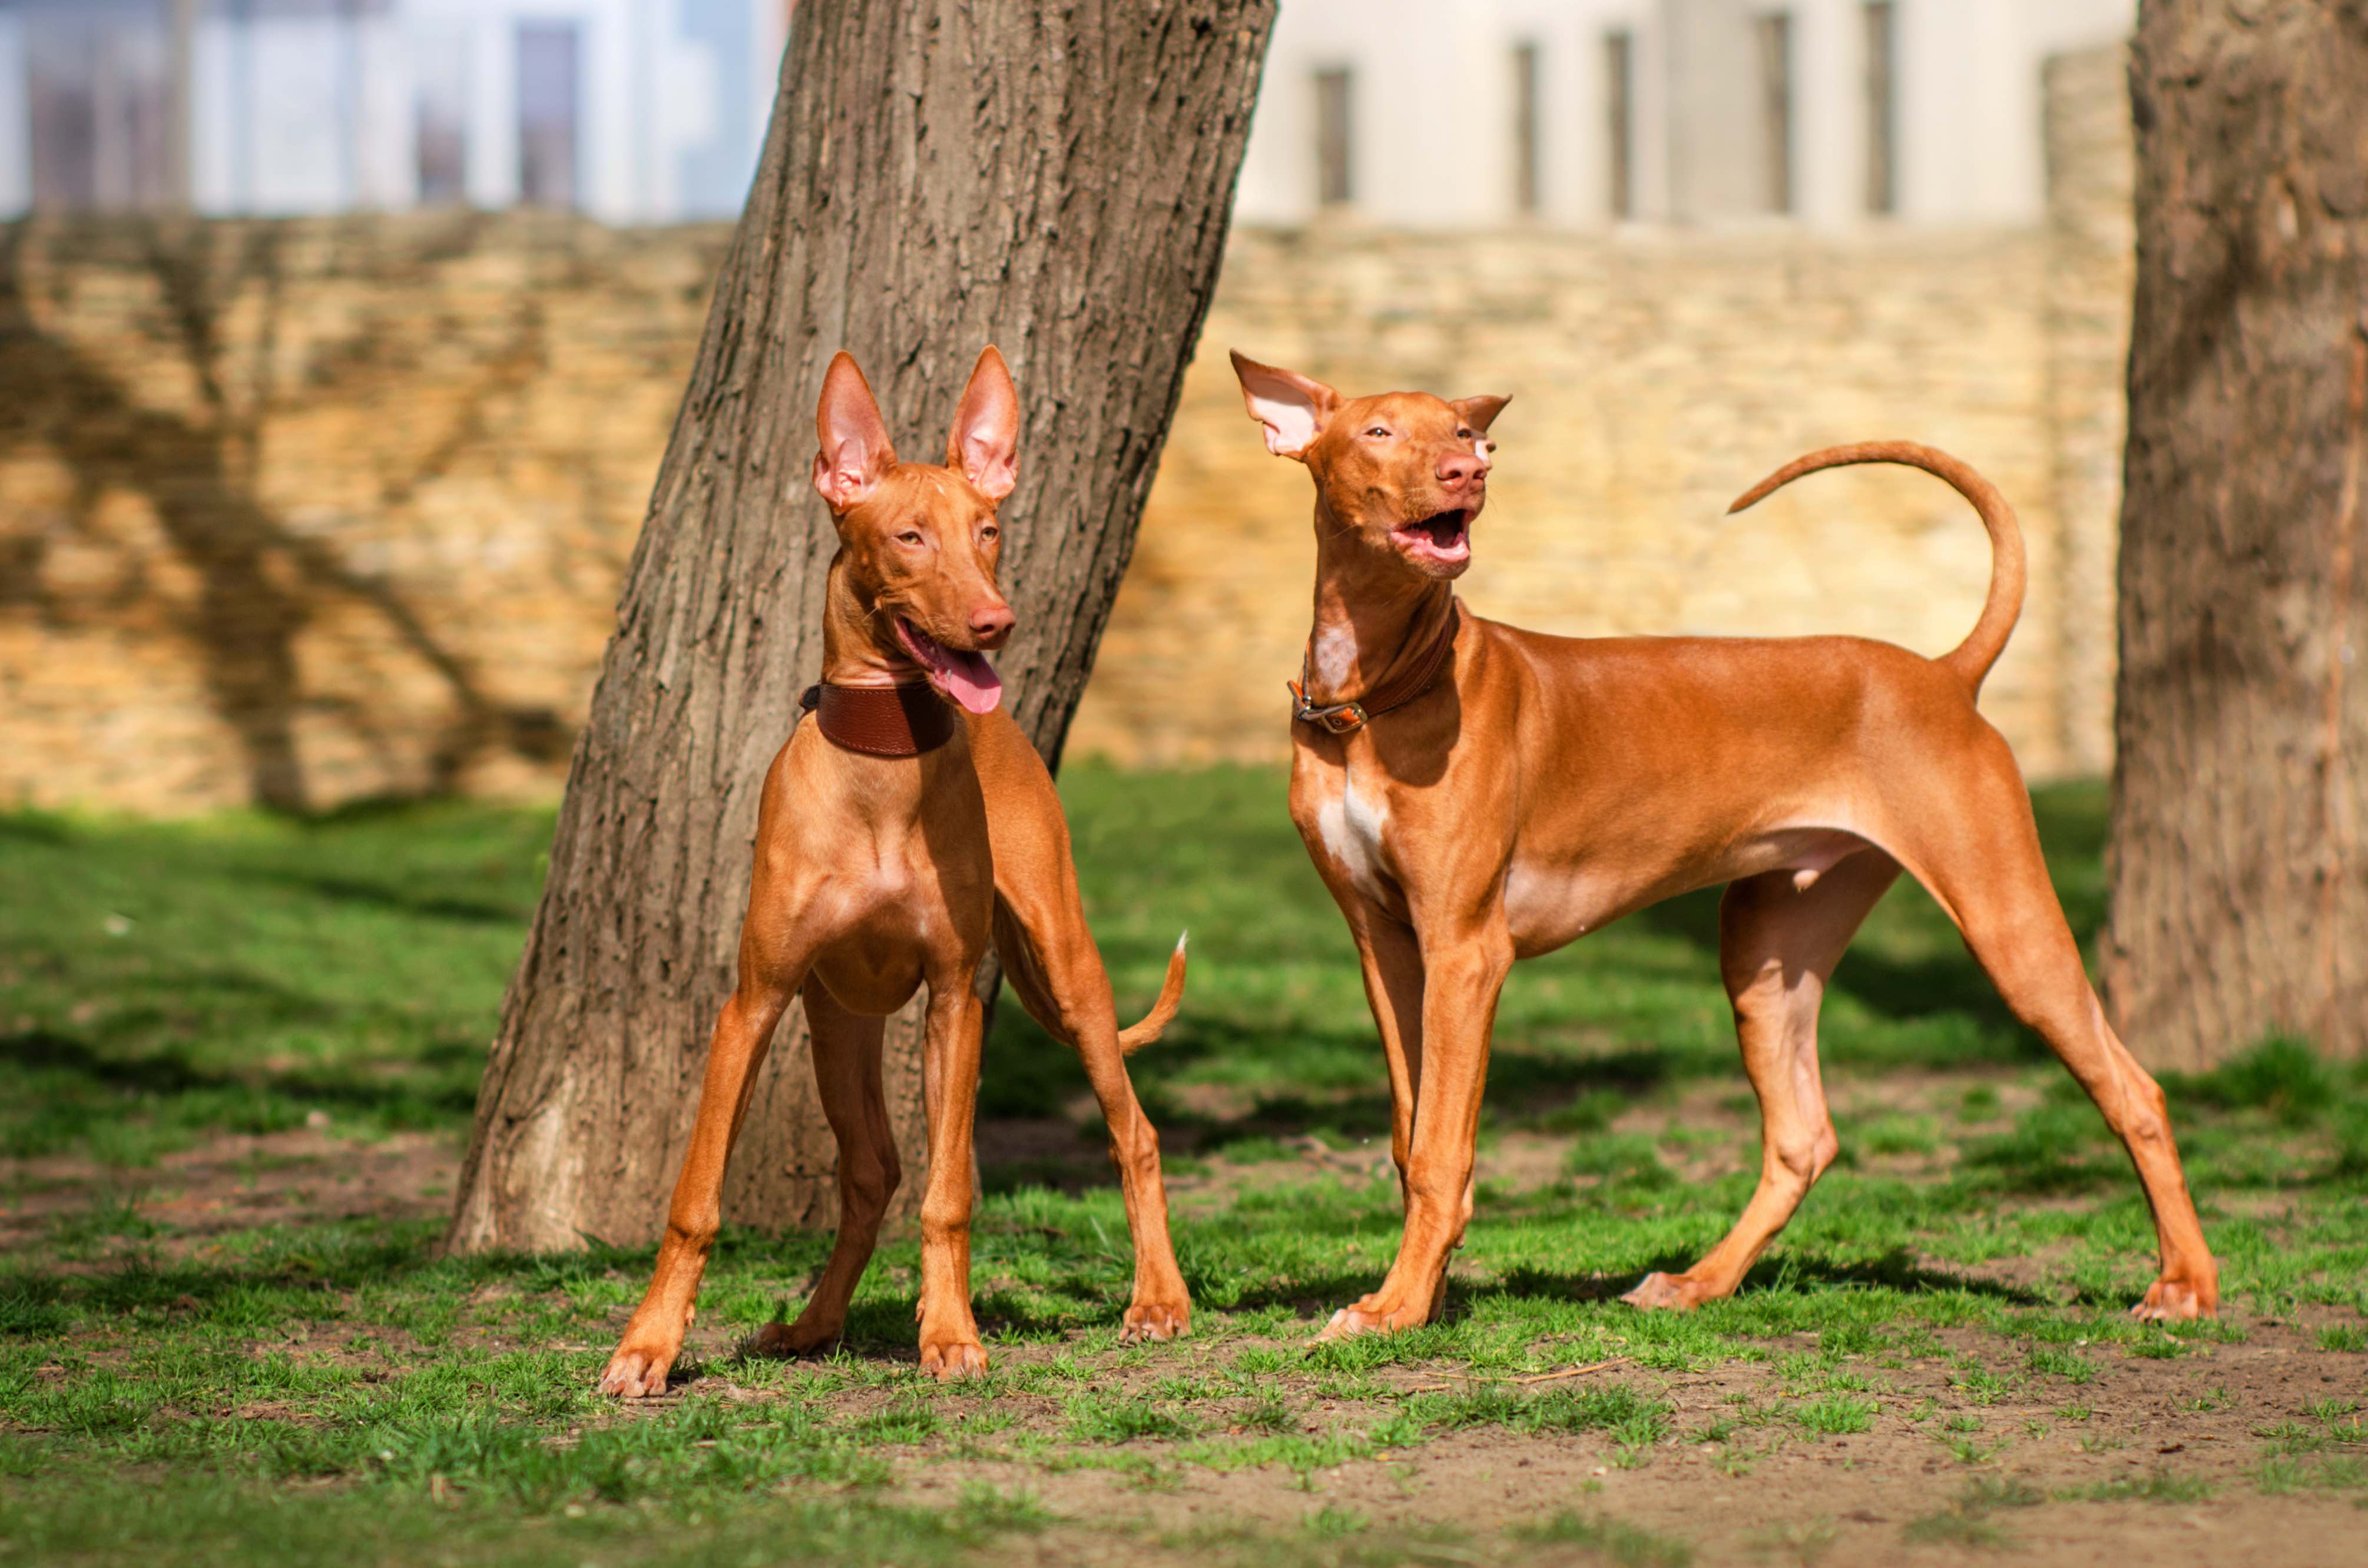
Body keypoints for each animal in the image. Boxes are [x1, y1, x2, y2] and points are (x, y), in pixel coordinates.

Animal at [592, 348, 1184, 1402]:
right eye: (908, 536)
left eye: (987, 529)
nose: (996, 622)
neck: (882, 759)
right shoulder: (752, 1002)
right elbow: (696, 1199)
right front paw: (646, 1346)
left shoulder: (955, 998)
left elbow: (949, 1195)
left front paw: (949, 1334)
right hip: (839, 1025)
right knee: (870, 1170)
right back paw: (814, 1323)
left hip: (1066, 969)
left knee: (1133, 1133)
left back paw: (1158, 1299)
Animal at [1231, 353, 2207, 1335]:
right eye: (1379, 431)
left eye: (1465, 432)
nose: (1469, 472)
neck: (1375, 695)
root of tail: (1943, 675)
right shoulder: (1386, 945)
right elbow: (1408, 1135)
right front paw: (1421, 1295)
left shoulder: (1466, 951)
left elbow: (1440, 1147)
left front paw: (1395, 1306)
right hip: (1765, 946)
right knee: (1804, 1136)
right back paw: (1701, 1281)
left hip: (2008, 924)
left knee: (2137, 1090)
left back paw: (2186, 1285)